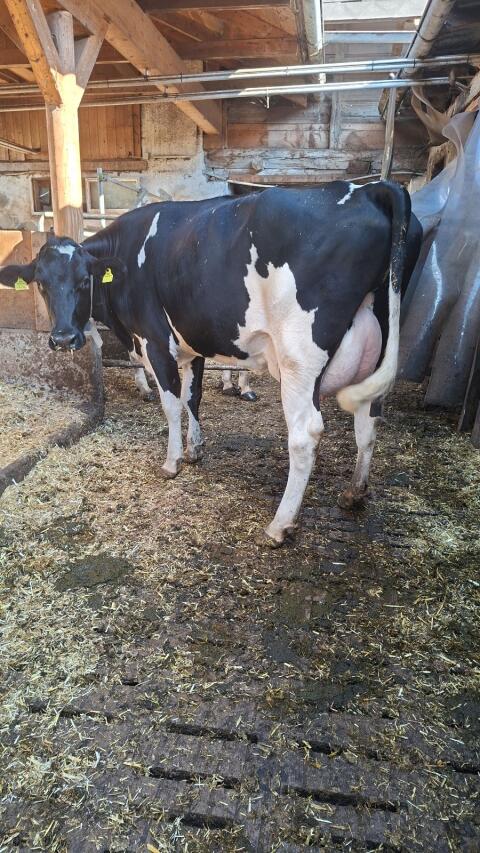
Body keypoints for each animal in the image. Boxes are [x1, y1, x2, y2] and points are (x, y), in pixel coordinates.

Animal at [0, 182, 422, 546]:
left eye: (85, 280)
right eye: (40, 282)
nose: (63, 339)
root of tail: (370, 188)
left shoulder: (156, 341)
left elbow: (171, 404)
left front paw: (172, 461)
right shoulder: (192, 345)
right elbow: (193, 397)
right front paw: (195, 448)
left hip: (299, 357)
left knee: (305, 434)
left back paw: (280, 524)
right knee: (369, 419)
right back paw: (354, 493)